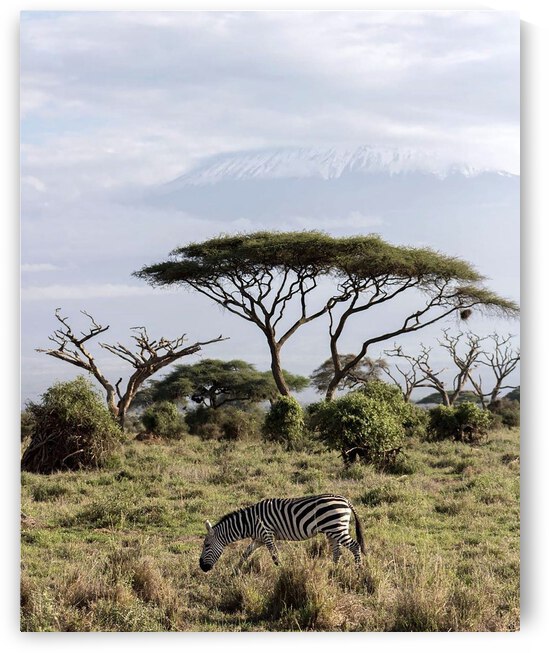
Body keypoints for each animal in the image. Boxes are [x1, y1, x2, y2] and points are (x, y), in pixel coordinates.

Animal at [199, 494, 365, 572]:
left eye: (206, 545)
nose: (202, 567)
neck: (250, 522)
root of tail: (345, 500)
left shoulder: (267, 534)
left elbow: (275, 556)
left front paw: (282, 571)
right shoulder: (258, 539)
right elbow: (245, 554)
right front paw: (235, 571)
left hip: (337, 528)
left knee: (355, 546)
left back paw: (358, 570)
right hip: (333, 530)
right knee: (337, 551)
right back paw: (333, 570)